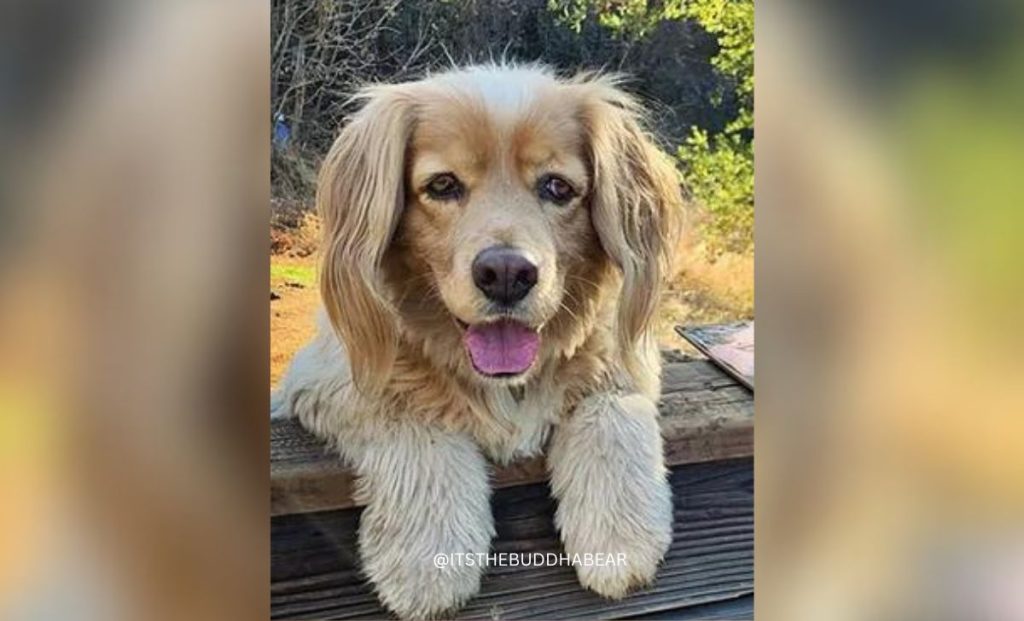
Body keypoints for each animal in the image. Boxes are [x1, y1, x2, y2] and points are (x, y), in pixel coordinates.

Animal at [276, 65, 684, 618]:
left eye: (557, 187)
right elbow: (415, 423)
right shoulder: (330, 380)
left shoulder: (624, 362)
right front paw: (427, 559)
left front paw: (621, 538)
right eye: (443, 185)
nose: (507, 274)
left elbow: (612, 412)